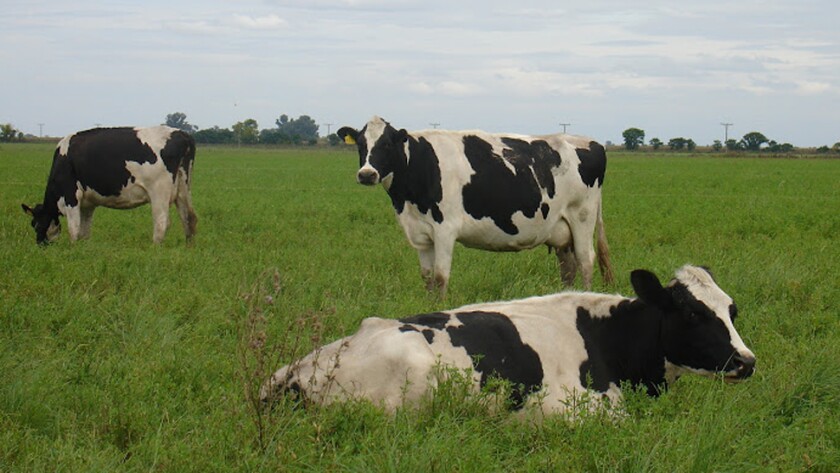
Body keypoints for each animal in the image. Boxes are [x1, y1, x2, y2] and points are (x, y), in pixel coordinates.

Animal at [22, 126, 197, 245]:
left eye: (35, 224)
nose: (40, 245)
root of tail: (182, 134)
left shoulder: (71, 196)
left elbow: (74, 229)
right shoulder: (87, 204)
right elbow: (84, 231)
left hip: (159, 191)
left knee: (161, 222)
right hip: (183, 188)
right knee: (189, 217)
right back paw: (189, 247)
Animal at [337, 116, 614, 297]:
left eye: (386, 144)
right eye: (361, 144)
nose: (367, 174)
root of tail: (592, 142)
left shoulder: (445, 228)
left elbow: (441, 277)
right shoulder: (421, 233)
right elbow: (427, 278)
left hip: (582, 217)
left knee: (586, 261)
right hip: (560, 229)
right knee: (568, 267)